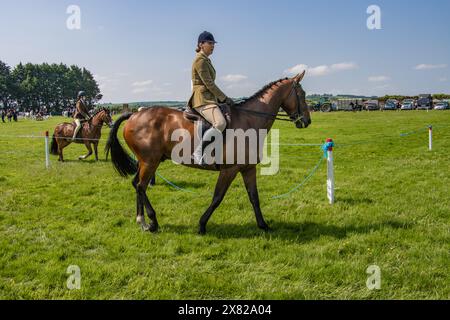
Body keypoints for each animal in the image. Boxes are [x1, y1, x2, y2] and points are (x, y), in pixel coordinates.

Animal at [106, 71, 312, 234]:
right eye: (302, 94)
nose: (307, 121)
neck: (250, 120)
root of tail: (134, 114)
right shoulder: (229, 170)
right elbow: (217, 198)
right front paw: (202, 225)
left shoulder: (248, 168)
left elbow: (254, 197)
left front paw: (263, 225)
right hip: (150, 162)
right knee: (141, 186)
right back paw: (151, 222)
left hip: (147, 161)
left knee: (136, 184)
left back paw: (142, 221)